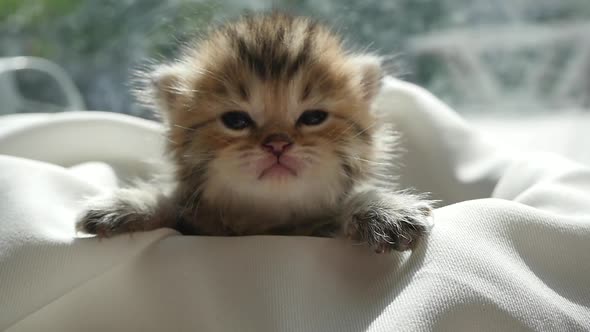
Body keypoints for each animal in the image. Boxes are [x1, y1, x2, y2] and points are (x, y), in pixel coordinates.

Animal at [75, 12, 434, 252]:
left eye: (313, 117)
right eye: (236, 121)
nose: (277, 144)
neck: (267, 224)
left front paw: (383, 210)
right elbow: (171, 200)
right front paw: (127, 206)